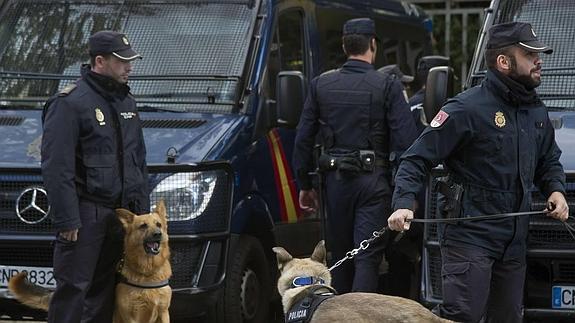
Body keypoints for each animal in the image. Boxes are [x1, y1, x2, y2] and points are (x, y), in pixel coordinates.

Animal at [9, 201, 172, 322]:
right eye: (143, 226)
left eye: (158, 224)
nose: (158, 234)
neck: (148, 272)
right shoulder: (131, 316)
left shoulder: (163, 313)